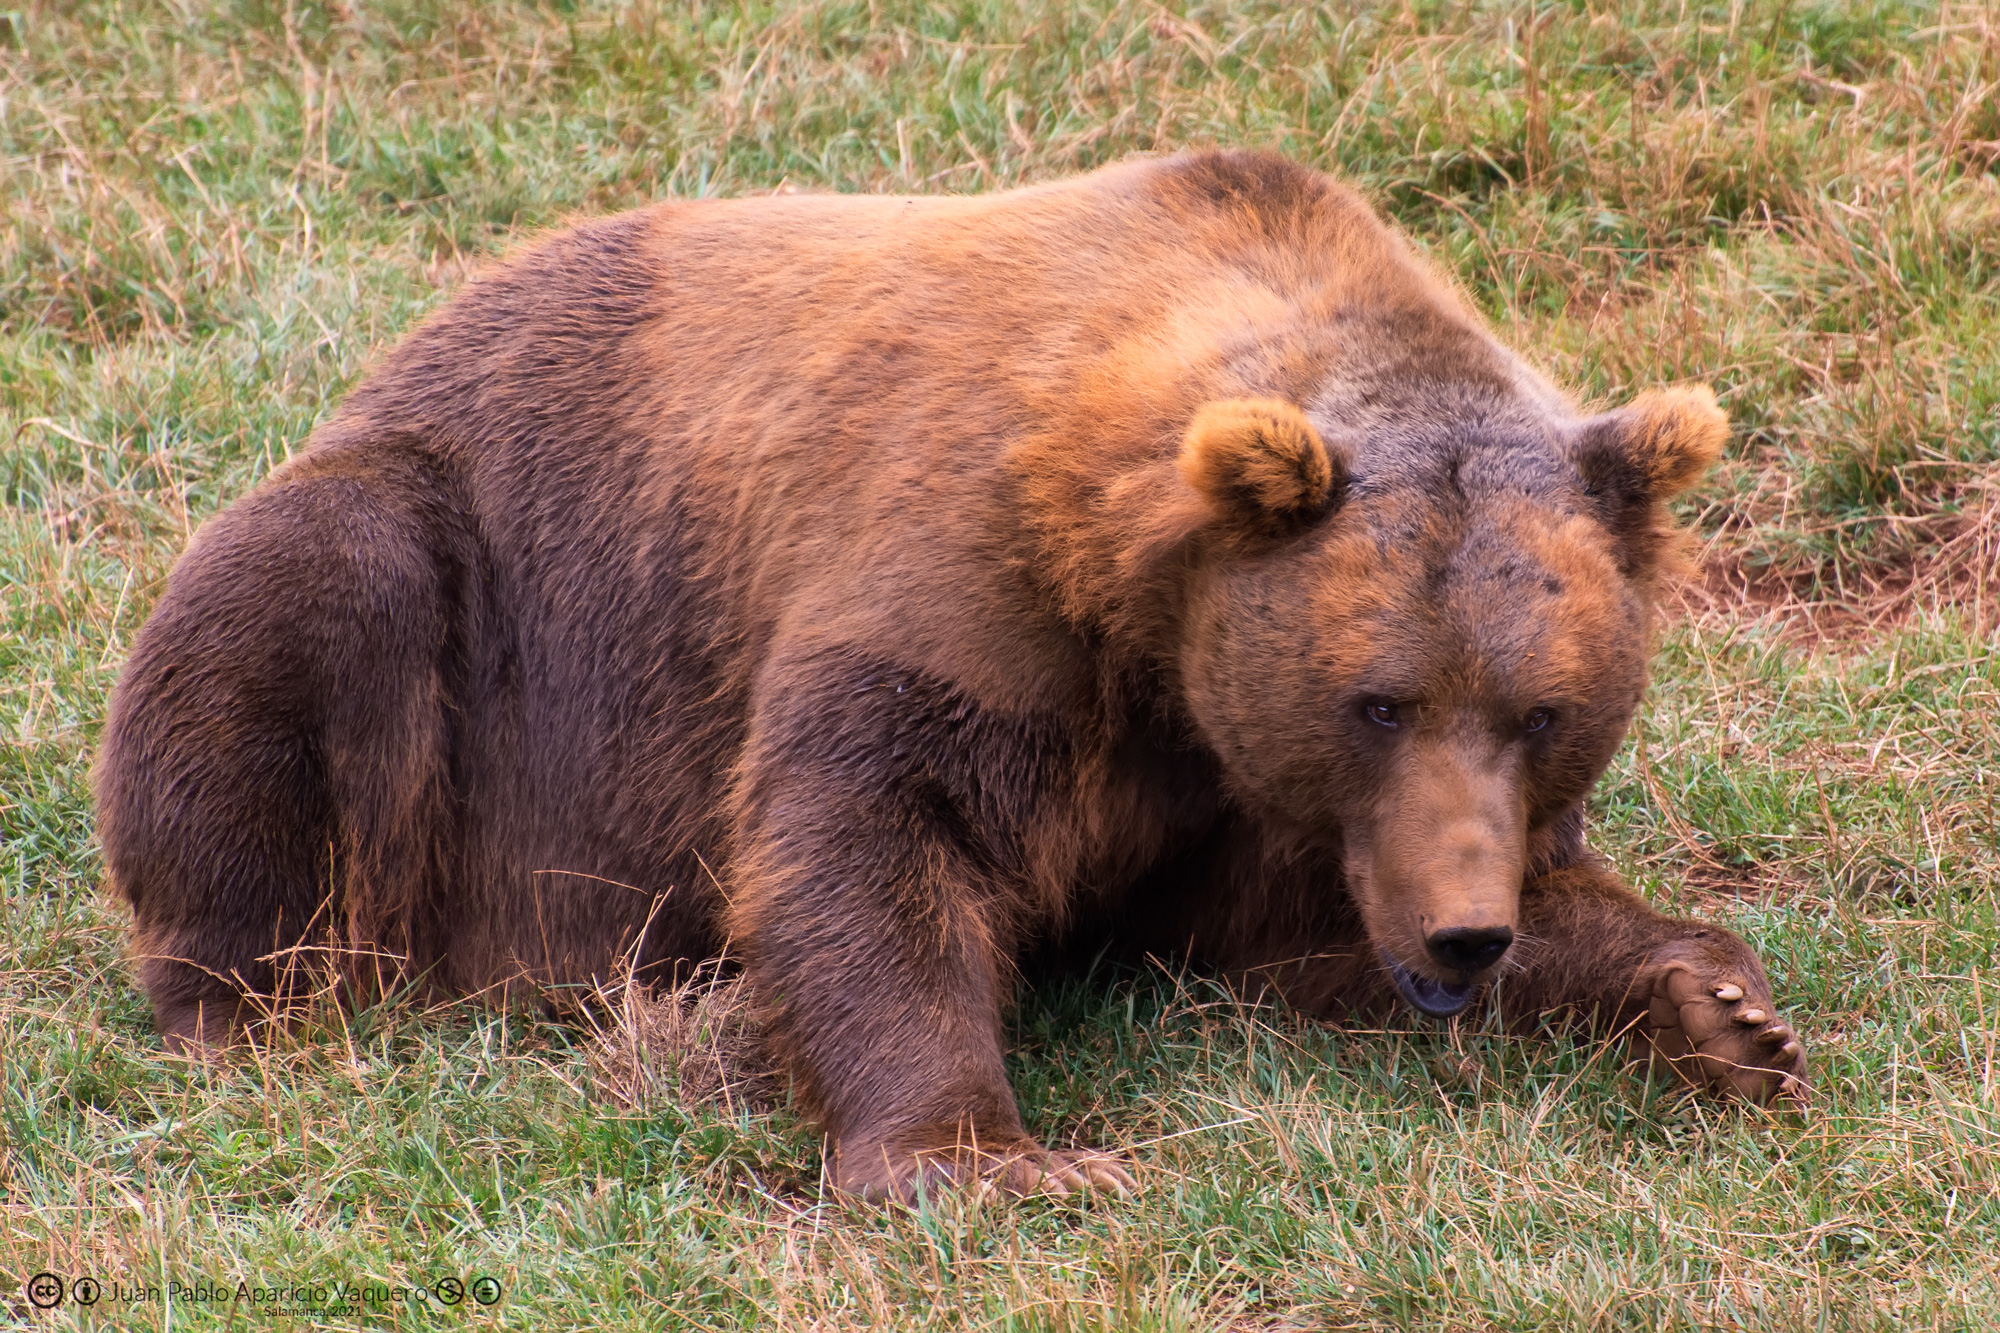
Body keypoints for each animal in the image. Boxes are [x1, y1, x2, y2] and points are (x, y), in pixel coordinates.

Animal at [96, 149, 1807, 1201]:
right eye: (1378, 698)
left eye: (1544, 712)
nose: (1463, 933)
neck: (1142, 607)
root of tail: (415, 333)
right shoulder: (969, 586)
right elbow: (872, 832)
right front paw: (984, 1156)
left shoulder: (1239, 784)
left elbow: (1293, 928)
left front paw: (1723, 1004)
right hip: (477, 609)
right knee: (300, 610)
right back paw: (259, 1000)